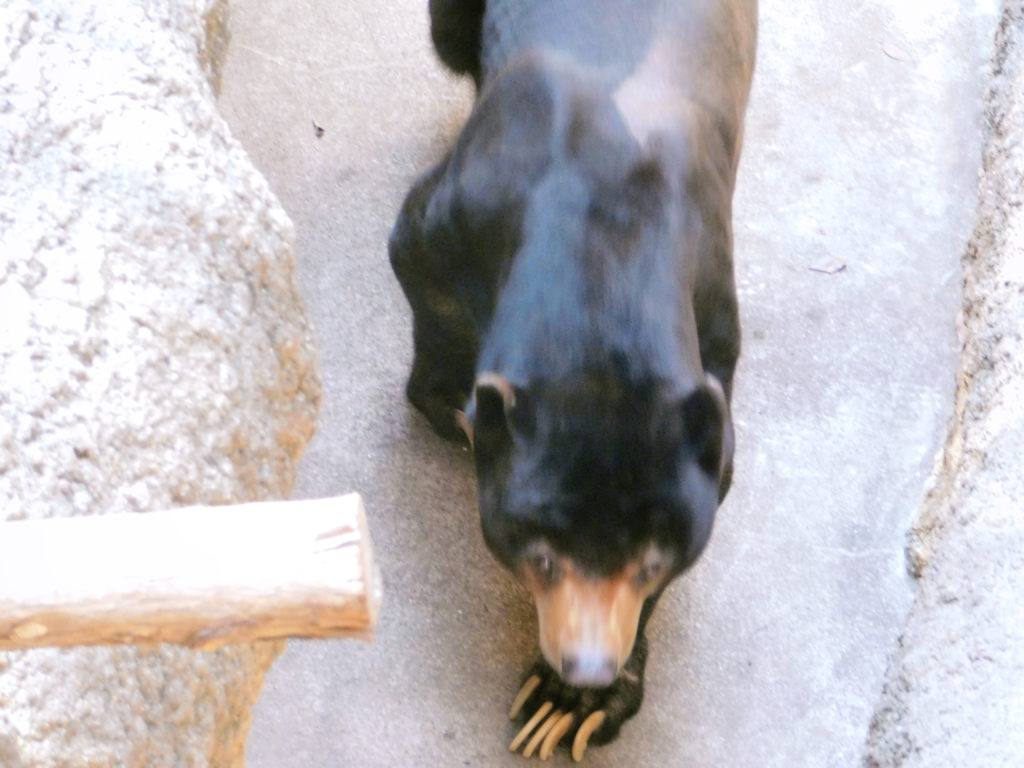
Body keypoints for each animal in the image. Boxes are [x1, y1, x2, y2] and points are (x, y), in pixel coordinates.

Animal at [387, 0, 757, 761]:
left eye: (649, 563)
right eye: (541, 556)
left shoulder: (715, 316)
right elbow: (419, 263)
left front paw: (566, 707)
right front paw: (455, 411)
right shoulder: (458, 211)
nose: (587, 664)